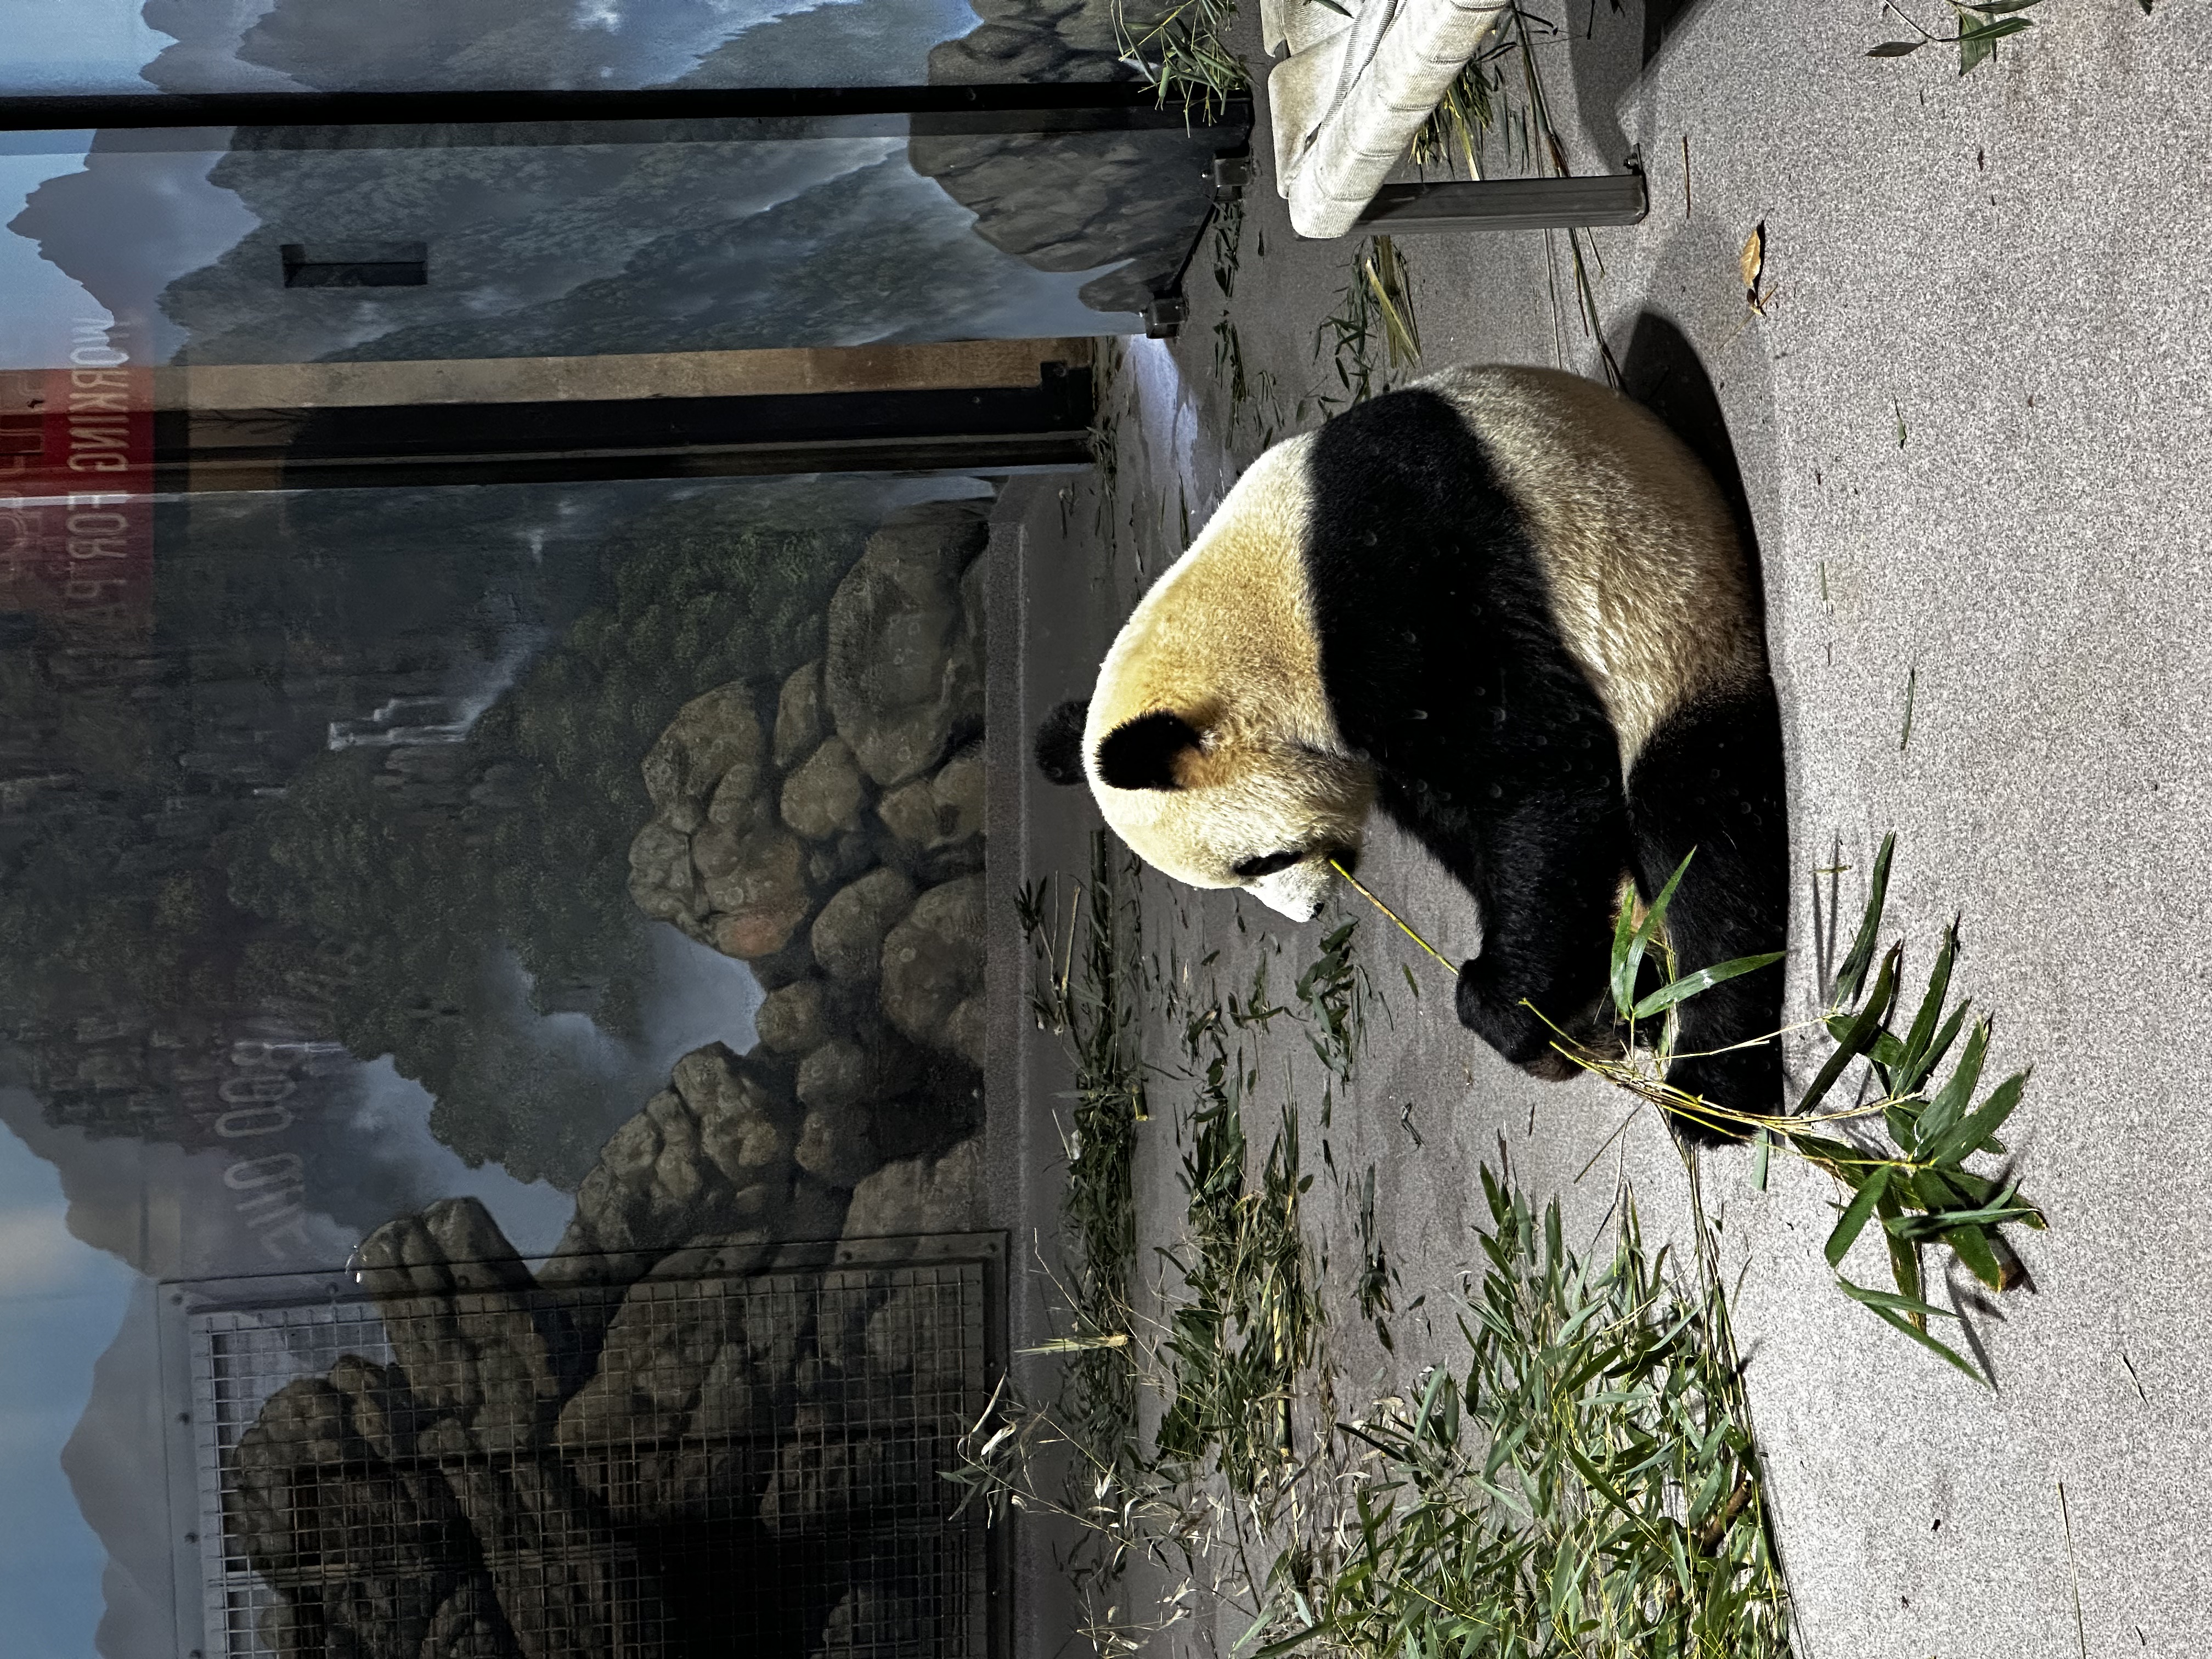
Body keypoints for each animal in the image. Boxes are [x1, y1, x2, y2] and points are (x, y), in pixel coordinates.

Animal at [1033, 364, 1789, 1141]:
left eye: (1258, 864)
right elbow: (1471, 821)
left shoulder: (1390, 595)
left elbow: (1540, 773)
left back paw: (1711, 1089)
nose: (1310, 912)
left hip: (1675, 634)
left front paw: (1509, 1004)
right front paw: (1578, 1007)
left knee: (1699, 837)